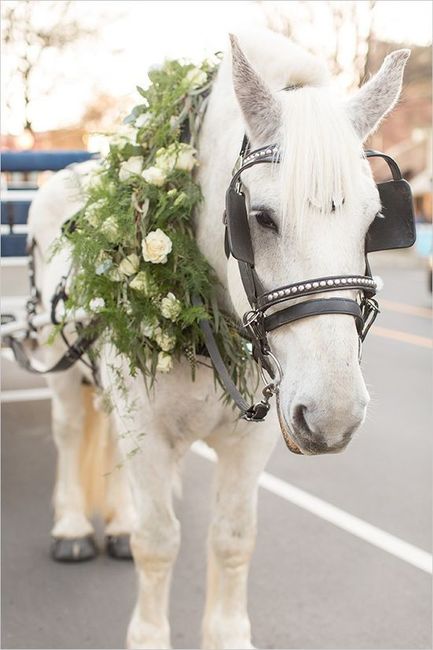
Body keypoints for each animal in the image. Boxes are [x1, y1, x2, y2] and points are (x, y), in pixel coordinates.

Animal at [27, 28, 409, 649]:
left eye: (375, 219)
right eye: (260, 217)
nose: (332, 415)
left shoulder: (250, 440)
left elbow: (233, 539)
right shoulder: (147, 426)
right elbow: (158, 541)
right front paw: (149, 634)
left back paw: (116, 521)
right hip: (55, 356)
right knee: (67, 433)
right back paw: (72, 526)